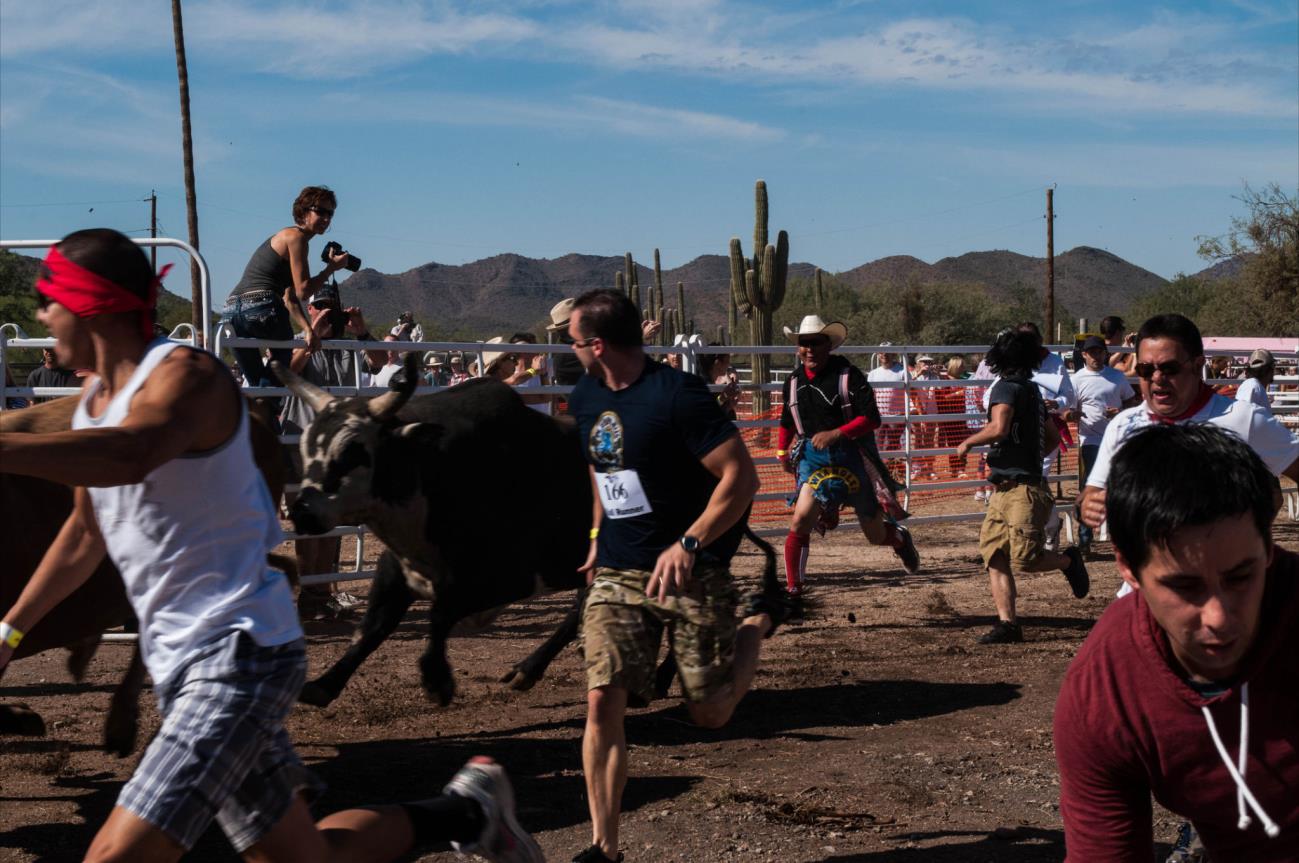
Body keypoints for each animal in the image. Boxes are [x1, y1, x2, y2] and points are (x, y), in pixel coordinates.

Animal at [279, 356, 774, 707]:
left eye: (354, 449)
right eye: (306, 445)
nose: (301, 510)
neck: (433, 470)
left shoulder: (500, 578)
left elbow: (441, 613)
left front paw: (437, 679)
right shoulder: (395, 569)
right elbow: (372, 628)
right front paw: (324, 683)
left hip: (705, 550)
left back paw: (658, 679)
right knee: (582, 609)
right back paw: (533, 670)